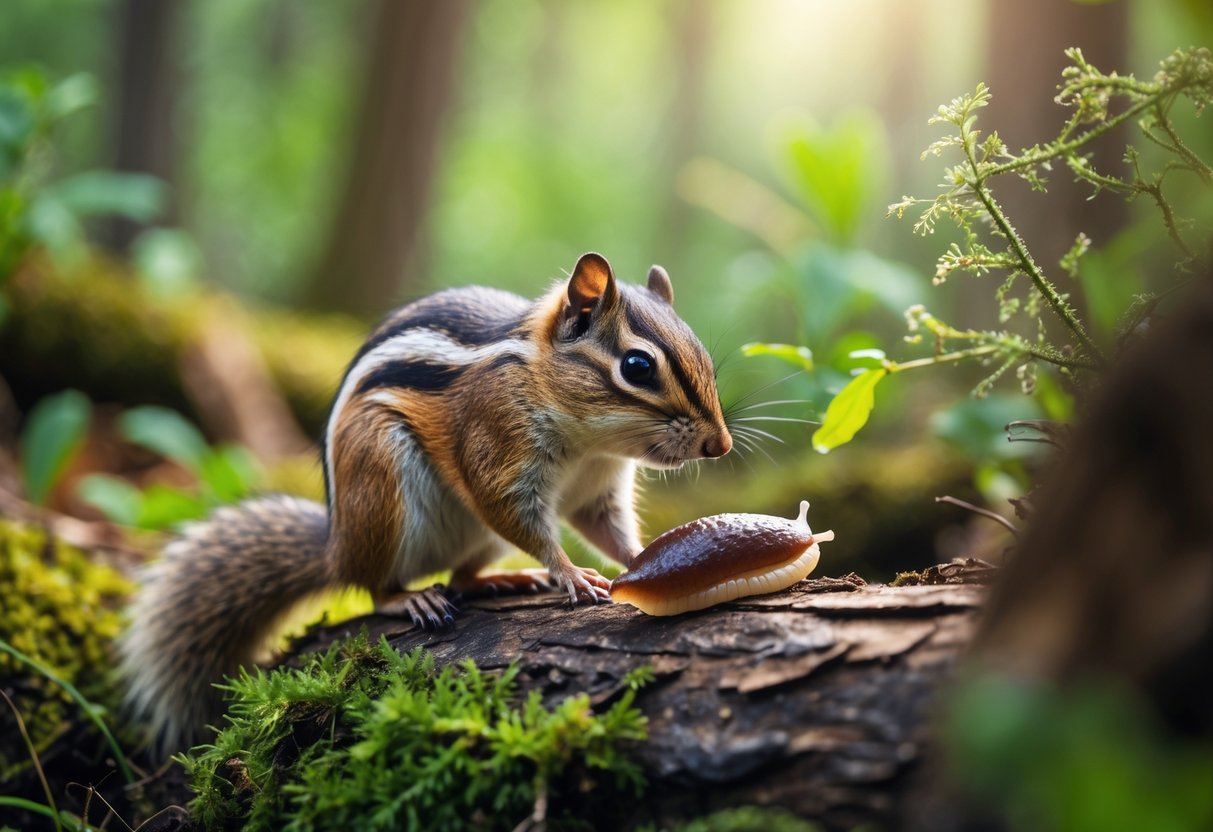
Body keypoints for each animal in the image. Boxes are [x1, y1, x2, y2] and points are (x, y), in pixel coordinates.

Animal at [119, 252, 733, 753]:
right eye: (637, 367)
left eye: (704, 354)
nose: (720, 445)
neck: (588, 440)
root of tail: (335, 546)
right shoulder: (495, 448)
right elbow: (512, 512)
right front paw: (571, 574)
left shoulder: (597, 487)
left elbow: (606, 528)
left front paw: (646, 557)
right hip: (382, 489)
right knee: (372, 586)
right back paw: (412, 598)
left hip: (469, 536)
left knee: (460, 575)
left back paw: (500, 581)